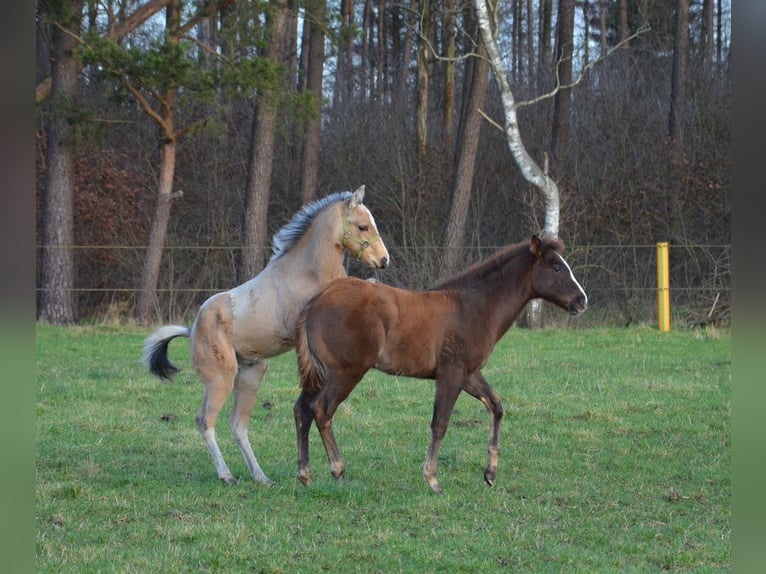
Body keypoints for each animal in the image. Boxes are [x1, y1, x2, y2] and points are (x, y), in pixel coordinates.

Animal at [141, 188, 390, 486]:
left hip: (251, 375)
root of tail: (193, 329)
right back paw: (227, 476)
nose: (384, 260)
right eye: (363, 226)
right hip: (220, 379)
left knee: (238, 425)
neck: (307, 272)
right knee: (205, 421)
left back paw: (261, 478)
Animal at [294, 234, 588, 496]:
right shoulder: (451, 374)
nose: (581, 301)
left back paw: (305, 475)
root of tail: (317, 300)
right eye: (556, 267)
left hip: (320, 375)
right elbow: (440, 422)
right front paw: (432, 479)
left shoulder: (470, 374)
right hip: (346, 372)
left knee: (301, 410)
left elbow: (496, 406)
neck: (474, 307)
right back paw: (338, 470)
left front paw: (490, 473)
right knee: (321, 410)